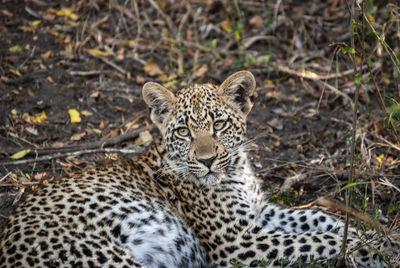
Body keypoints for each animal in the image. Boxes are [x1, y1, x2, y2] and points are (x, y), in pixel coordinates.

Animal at [0, 70, 396, 266]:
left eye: (219, 124)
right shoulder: (234, 243)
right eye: (183, 131)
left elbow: (318, 218)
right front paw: (376, 251)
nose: (206, 160)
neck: (237, 170)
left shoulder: (259, 215)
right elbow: (318, 239)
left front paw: (382, 236)